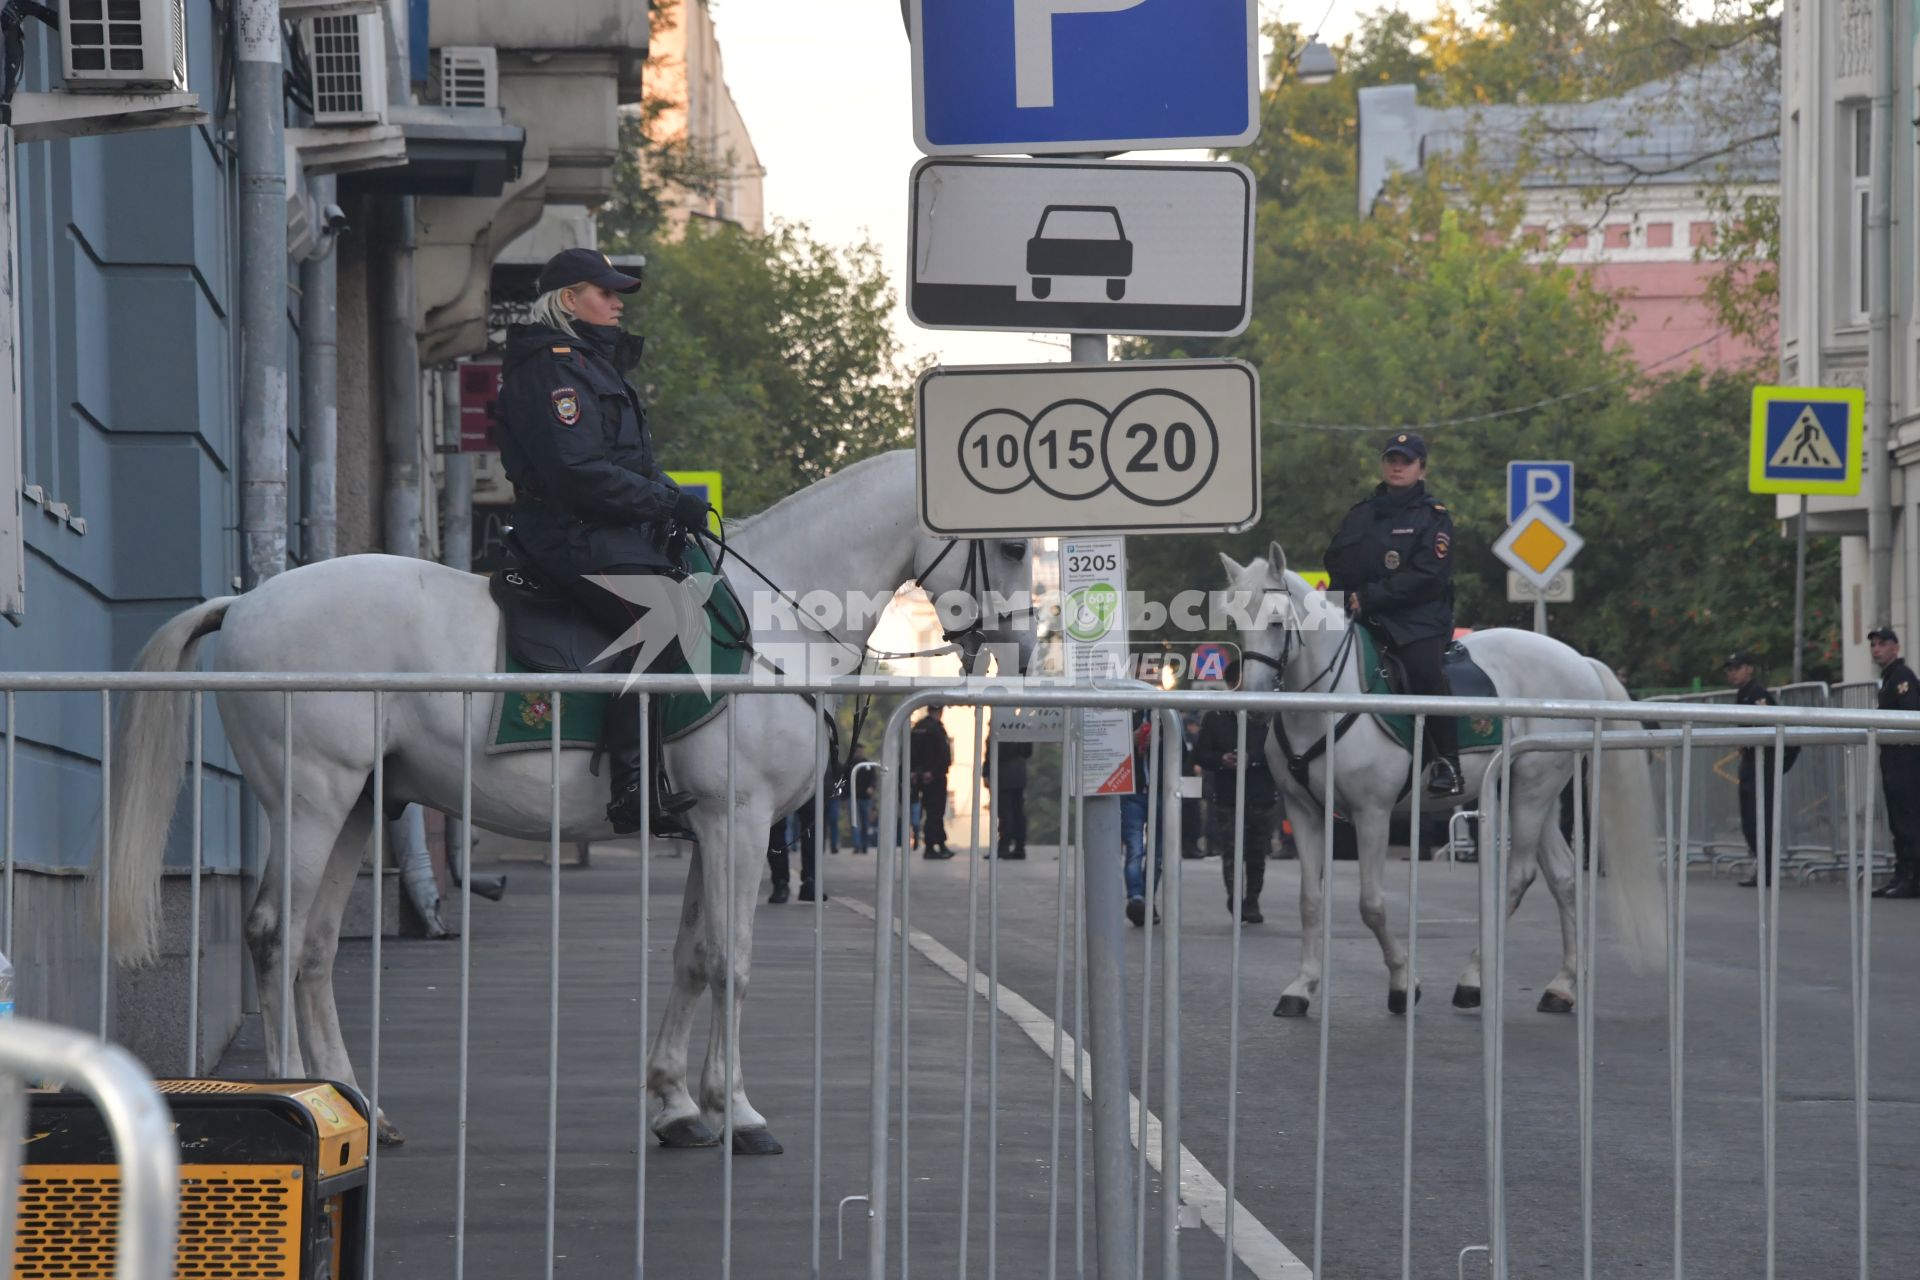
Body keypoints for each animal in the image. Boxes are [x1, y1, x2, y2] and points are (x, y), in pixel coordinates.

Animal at [101, 454, 1036, 1159]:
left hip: (357, 808)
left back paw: (360, 1108)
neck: (773, 624)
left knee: (316, 949)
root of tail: (248, 601)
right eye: (1013, 543)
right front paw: (736, 1111)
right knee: (274, 936)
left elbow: (693, 956)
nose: (1024, 647)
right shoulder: (737, 822)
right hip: (309, 800)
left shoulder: (707, 827)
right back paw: (304, 1104)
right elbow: (731, 961)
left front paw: (676, 1105)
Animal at [1228, 545, 1666, 1013]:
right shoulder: (1305, 813)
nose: (1255, 701)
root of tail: (1578, 659)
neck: (1328, 700)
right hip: (1529, 791)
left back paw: (1473, 978)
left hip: (1533, 789)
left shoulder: (1372, 813)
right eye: (1235, 622)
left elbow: (1371, 904)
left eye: (1277, 621)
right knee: (1563, 875)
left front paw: (1403, 984)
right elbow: (1309, 901)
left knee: (1520, 875)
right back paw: (1560, 986)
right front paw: (1301, 987)